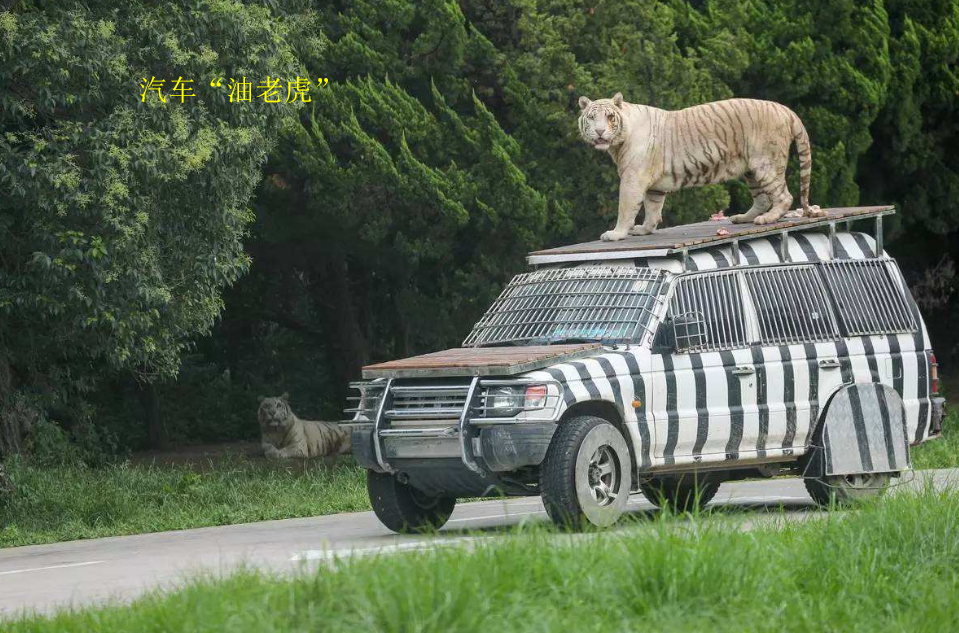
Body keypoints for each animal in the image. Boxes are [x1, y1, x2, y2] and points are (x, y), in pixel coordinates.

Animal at [576, 92, 824, 241]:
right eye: (592, 118)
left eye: (610, 117)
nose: (600, 132)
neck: (618, 144)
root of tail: (786, 109)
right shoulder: (653, 185)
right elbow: (653, 209)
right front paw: (644, 230)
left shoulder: (632, 179)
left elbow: (626, 208)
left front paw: (615, 234)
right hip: (751, 170)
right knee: (762, 198)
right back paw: (743, 218)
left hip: (765, 163)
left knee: (783, 196)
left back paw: (767, 219)